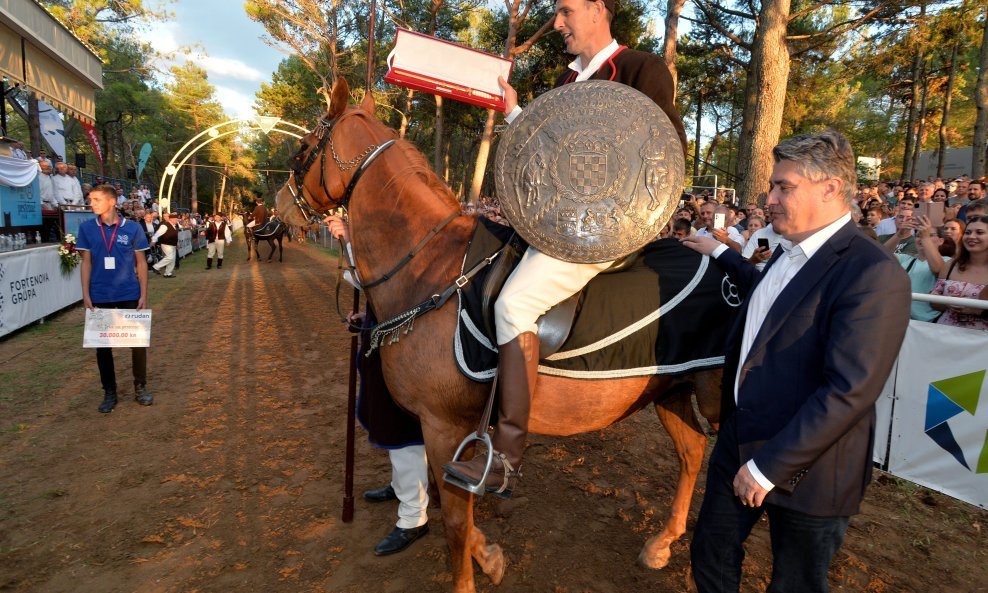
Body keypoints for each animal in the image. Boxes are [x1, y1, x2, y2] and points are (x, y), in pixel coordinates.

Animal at [274, 77, 720, 592]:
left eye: (303, 149)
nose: (279, 207)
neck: (430, 271)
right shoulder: (444, 429)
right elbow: (455, 510)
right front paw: (488, 555)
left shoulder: (444, 425)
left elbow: (454, 521)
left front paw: (470, 574)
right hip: (671, 389)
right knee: (692, 452)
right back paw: (662, 543)